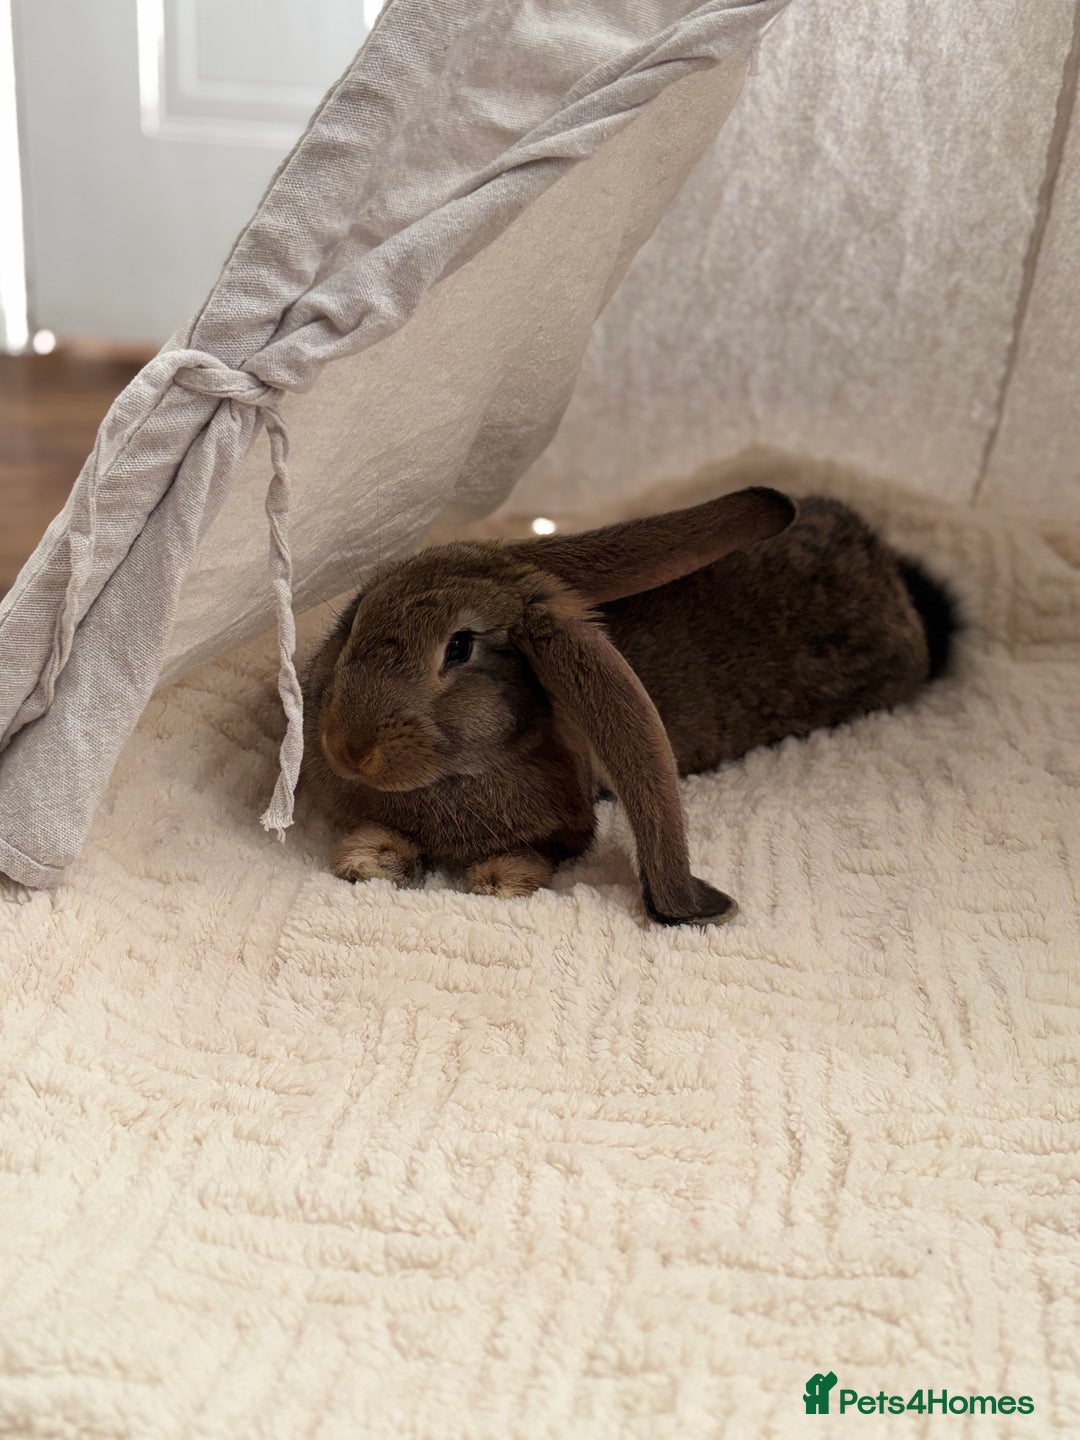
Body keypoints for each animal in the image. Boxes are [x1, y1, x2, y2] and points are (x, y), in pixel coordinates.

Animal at [300, 487, 955, 926]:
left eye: (459, 647)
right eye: (357, 618)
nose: (346, 747)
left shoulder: (564, 829)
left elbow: (536, 855)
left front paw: (499, 881)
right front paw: (368, 859)